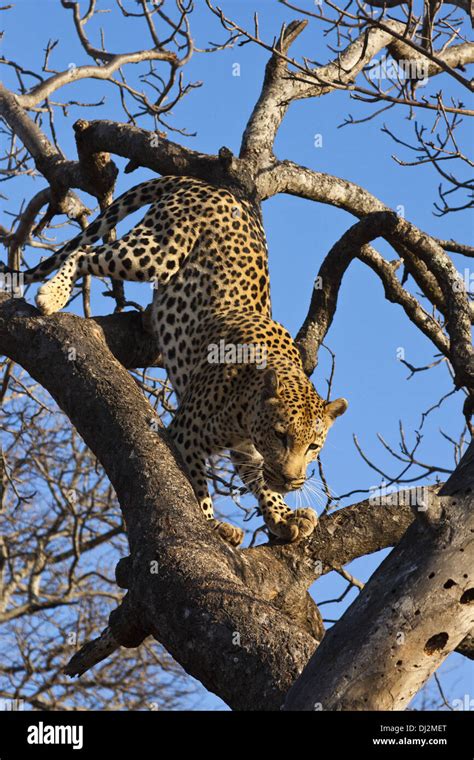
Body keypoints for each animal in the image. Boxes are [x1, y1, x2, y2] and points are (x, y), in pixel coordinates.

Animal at [0, 177, 348, 548]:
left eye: (313, 446)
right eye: (281, 436)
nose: (291, 480)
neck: (245, 411)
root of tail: (205, 184)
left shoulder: (246, 449)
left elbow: (260, 480)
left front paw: (282, 516)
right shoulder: (185, 435)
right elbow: (196, 485)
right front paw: (212, 525)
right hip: (156, 252)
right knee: (85, 254)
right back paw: (51, 295)